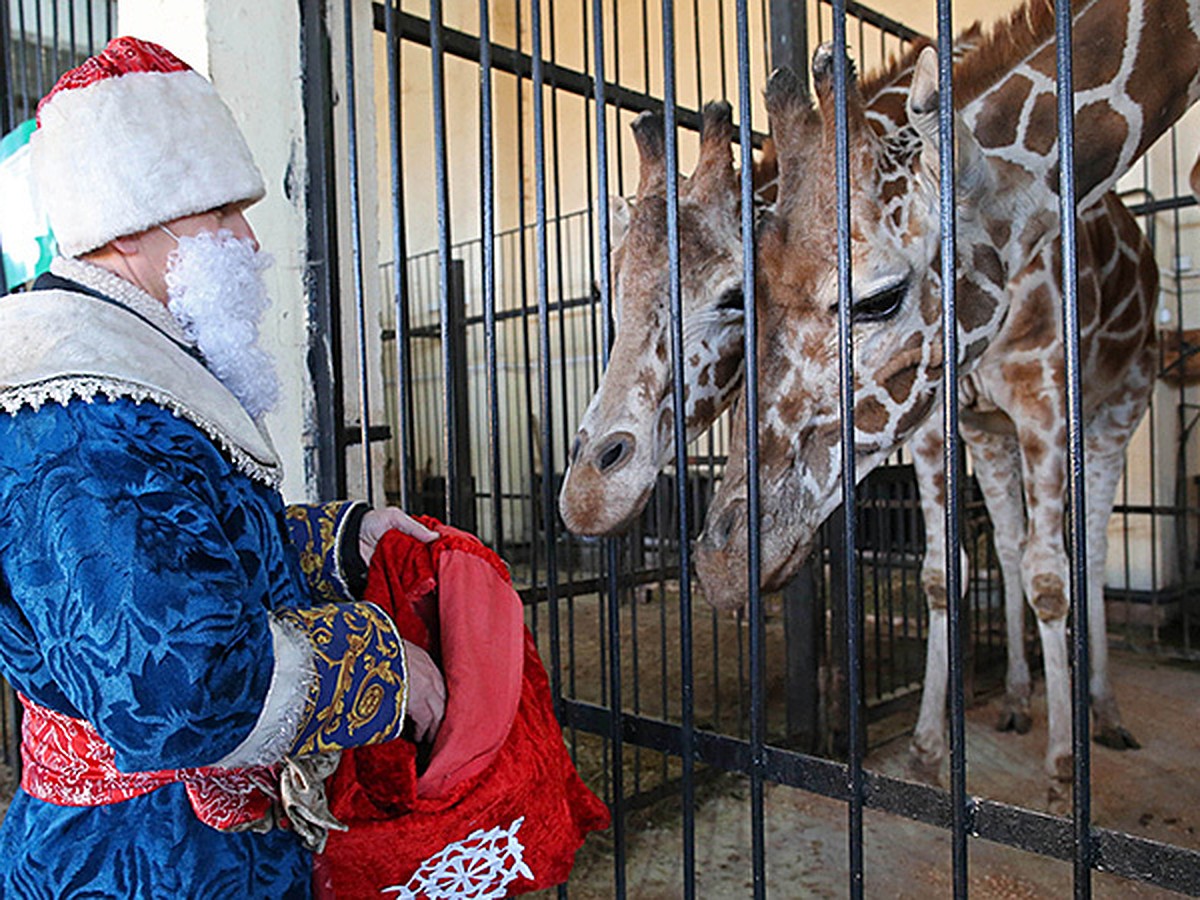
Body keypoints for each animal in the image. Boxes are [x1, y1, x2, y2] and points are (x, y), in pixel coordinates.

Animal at [691, 0, 1195, 801]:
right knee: (1014, 544)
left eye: (878, 297)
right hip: (992, 430)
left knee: (1084, 544)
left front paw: (1062, 771)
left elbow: (1055, 573)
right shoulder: (954, 419)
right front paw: (932, 748)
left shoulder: (1047, 398)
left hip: (1123, 402)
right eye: (749, 300)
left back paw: (1103, 713)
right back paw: (1018, 700)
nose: (720, 563)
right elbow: (947, 570)